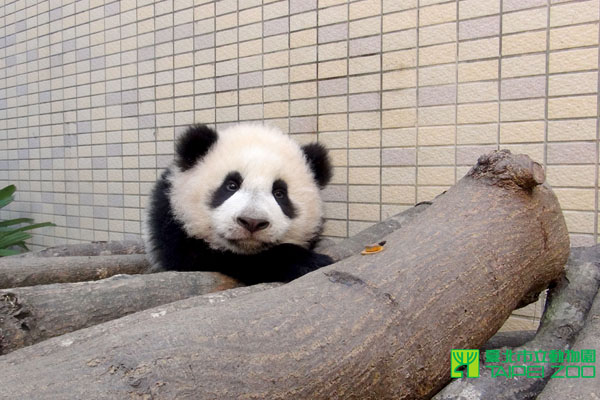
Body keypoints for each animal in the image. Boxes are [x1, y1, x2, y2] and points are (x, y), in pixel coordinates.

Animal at [144, 123, 336, 282]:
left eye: (280, 193)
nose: (252, 222)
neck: (246, 249)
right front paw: (304, 261)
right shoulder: (171, 227)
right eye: (231, 185)